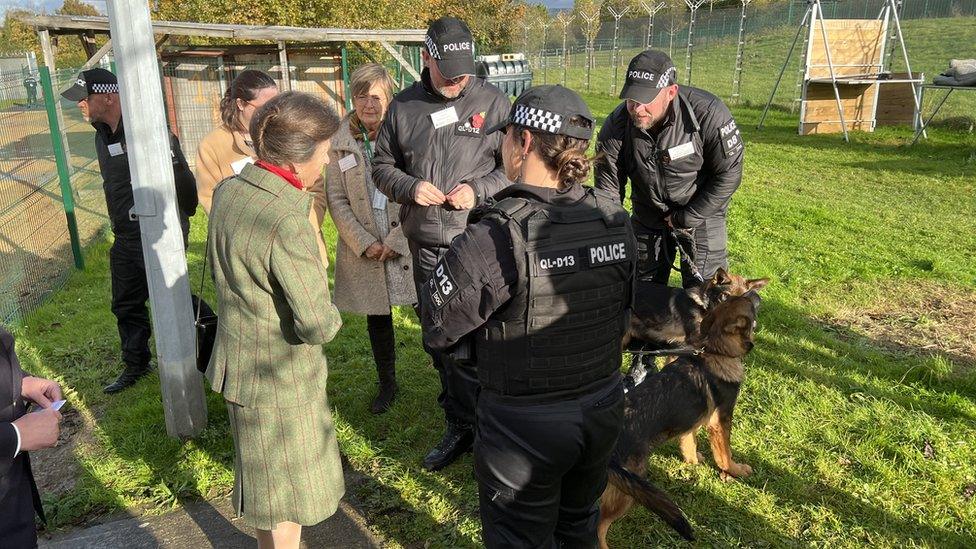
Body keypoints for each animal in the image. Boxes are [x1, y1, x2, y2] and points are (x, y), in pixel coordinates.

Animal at [596, 288, 764, 544]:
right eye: (747, 302)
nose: (755, 292)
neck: (716, 350)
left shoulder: (691, 420)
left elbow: (689, 442)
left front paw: (693, 461)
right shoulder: (720, 421)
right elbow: (725, 454)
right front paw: (734, 472)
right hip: (630, 488)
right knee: (599, 525)